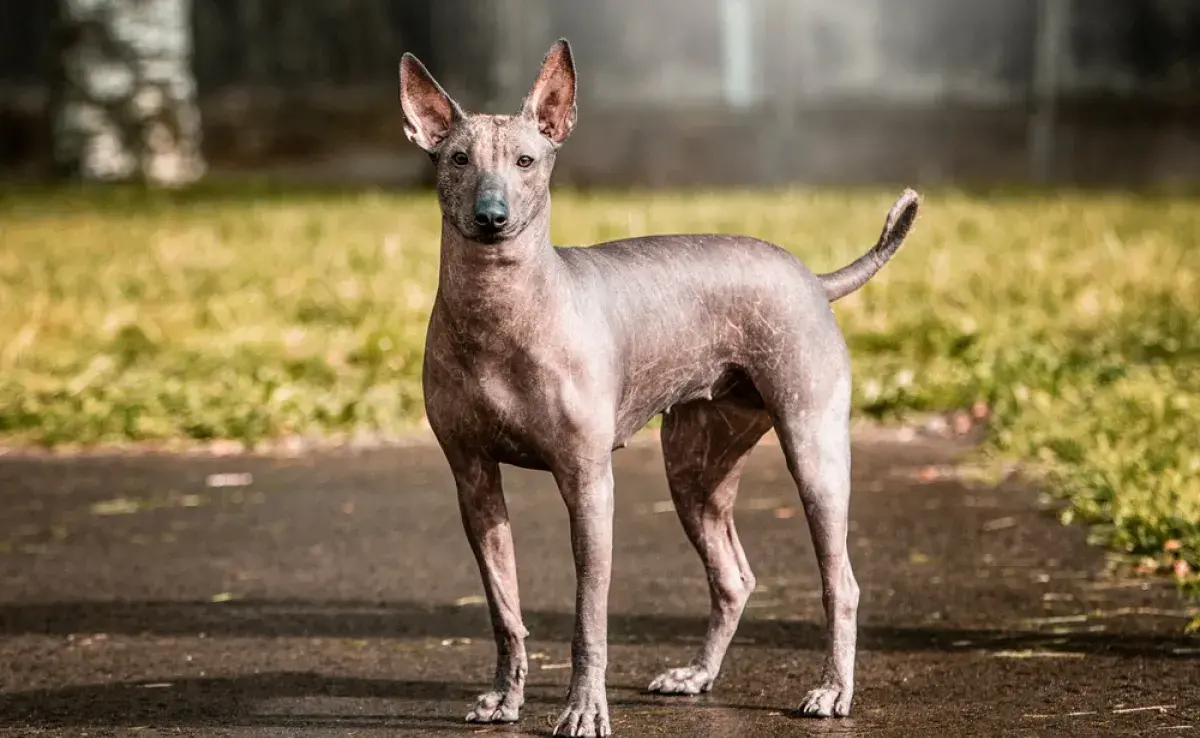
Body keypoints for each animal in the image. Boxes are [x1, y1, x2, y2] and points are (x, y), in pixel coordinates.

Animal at [398, 42, 921, 738]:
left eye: (526, 162)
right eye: (459, 159)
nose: (491, 217)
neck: (500, 309)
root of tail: (812, 277)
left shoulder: (589, 484)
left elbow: (588, 619)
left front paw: (584, 709)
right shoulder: (474, 481)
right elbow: (504, 609)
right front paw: (505, 698)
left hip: (814, 455)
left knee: (842, 582)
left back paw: (833, 689)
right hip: (694, 471)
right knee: (733, 577)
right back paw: (697, 676)